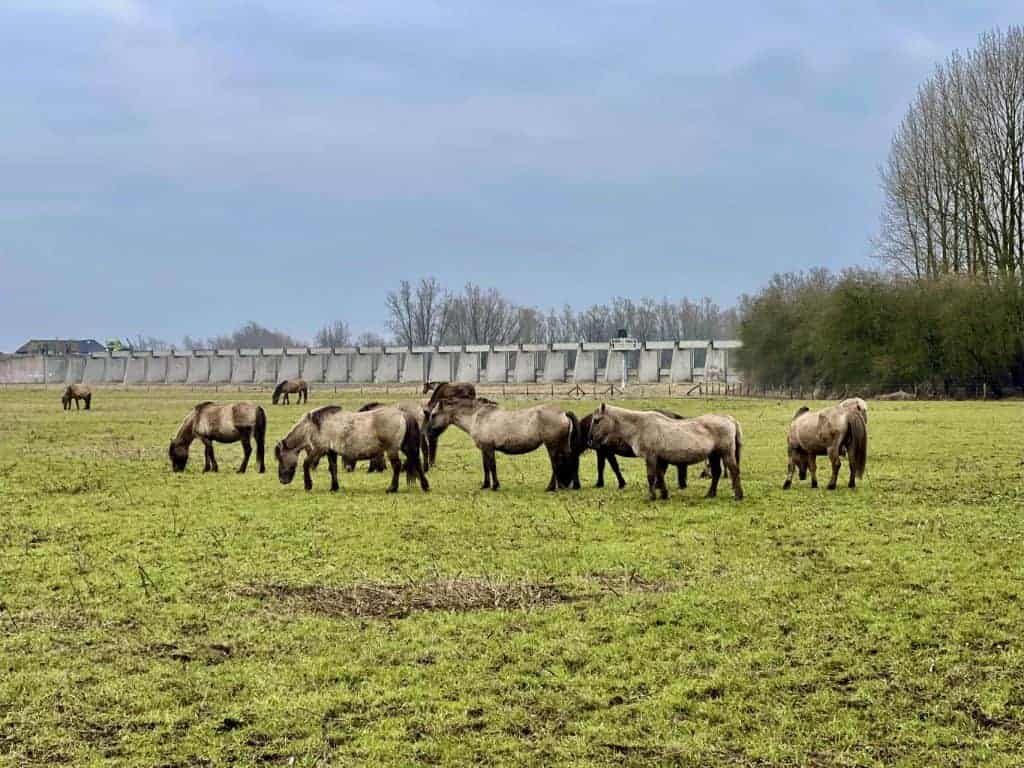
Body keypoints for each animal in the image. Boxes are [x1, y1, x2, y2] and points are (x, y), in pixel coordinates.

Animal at [275, 405, 429, 494]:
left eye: (280, 458)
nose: (282, 480)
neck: (314, 426)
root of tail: (402, 414)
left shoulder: (318, 450)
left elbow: (306, 464)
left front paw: (308, 485)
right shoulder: (331, 452)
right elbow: (333, 468)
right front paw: (334, 487)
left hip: (392, 449)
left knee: (397, 466)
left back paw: (392, 488)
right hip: (407, 448)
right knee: (417, 462)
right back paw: (425, 486)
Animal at [427, 397, 581, 491]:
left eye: (433, 414)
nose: (428, 434)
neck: (477, 417)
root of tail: (563, 413)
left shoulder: (488, 448)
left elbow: (492, 466)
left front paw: (495, 486)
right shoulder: (484, 449)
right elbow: (486, 467)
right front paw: (485, 485)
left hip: (552, 445)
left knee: (555, 464)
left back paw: (550, 487)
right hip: (562, 444)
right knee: (571, 459)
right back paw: (573, 485)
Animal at [587, 404, 743, 501]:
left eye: (596, 420)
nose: (590, 441)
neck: (640, 425)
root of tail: (729, 419)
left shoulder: (650, 457)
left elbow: (651, 477)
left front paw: (651, 497)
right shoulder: (659, 458)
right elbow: (660, 476)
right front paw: (664, 495)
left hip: (725, 453)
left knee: (734, 471)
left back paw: (738, 495)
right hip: (714, 455)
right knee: (716, 473)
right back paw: (710, 494)